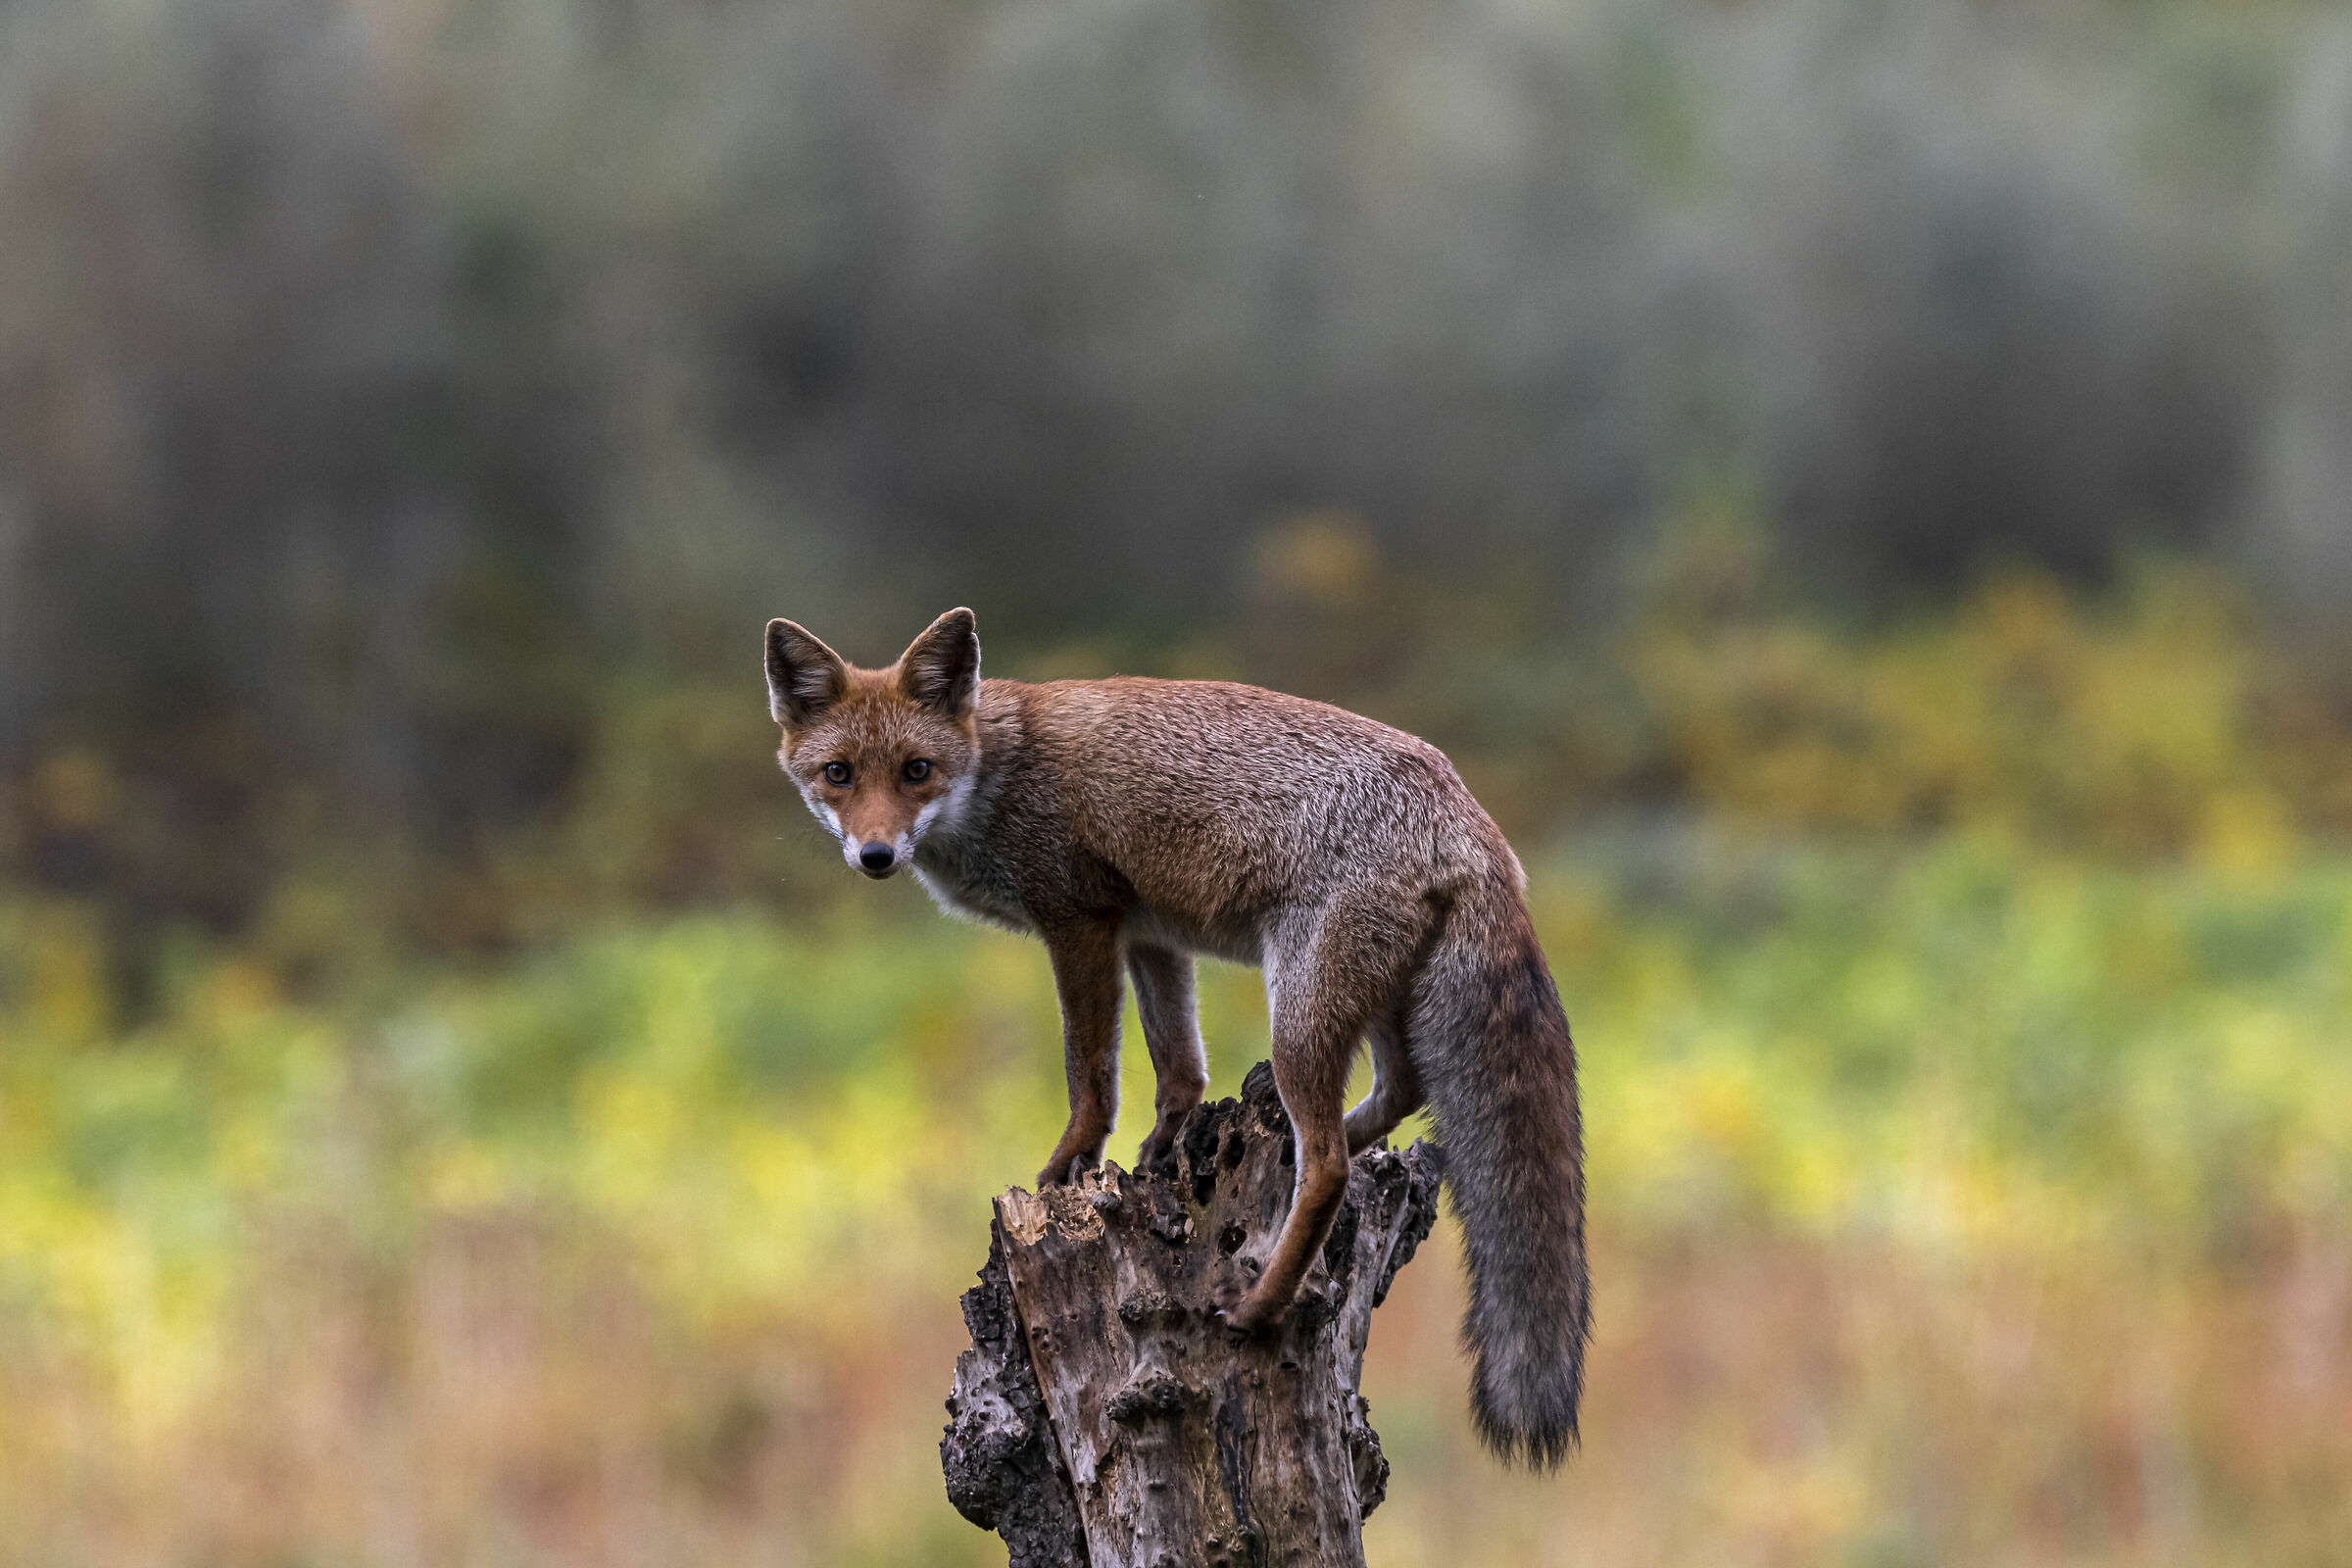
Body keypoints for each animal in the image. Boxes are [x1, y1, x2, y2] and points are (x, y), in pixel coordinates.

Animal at [764, 607, 1591, 1466]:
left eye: (916, 770)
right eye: (839, 774)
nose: (876, 854)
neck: (996, 775)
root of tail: (1470, 818)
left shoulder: (1080, 923)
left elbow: (1091, 1071)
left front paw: (1072, 1165)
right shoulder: (1151, 935)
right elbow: (1179, 1068)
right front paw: (1161, 1155)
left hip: (1299, 1013)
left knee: (1330, 1166)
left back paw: (1261, 1303)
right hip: (1377, 1006)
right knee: (1399, 1093)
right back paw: (1287, 1147)